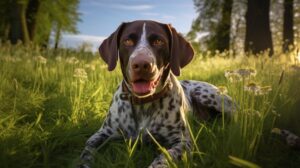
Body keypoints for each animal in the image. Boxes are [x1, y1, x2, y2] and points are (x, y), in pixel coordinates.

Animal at [78, 20, 236, 167]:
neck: (143, 103)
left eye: (158, 41)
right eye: (127, 41)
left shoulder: (182, 142)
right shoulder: (104, 132)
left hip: (206, 95)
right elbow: (87, 148)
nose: (141, 64)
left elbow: (163, 158)